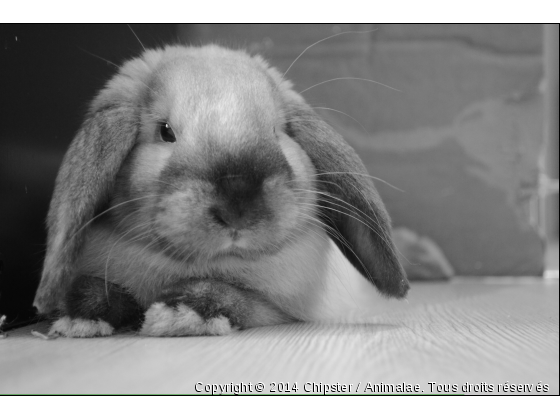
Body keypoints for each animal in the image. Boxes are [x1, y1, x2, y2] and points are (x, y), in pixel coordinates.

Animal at [35, 43, 410, 338]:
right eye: (165, 131)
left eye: (278, 132)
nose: (238, 209)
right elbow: (93, 287)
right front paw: (79, 319)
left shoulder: (276, 309)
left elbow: (234, 297)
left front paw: (179, 314)